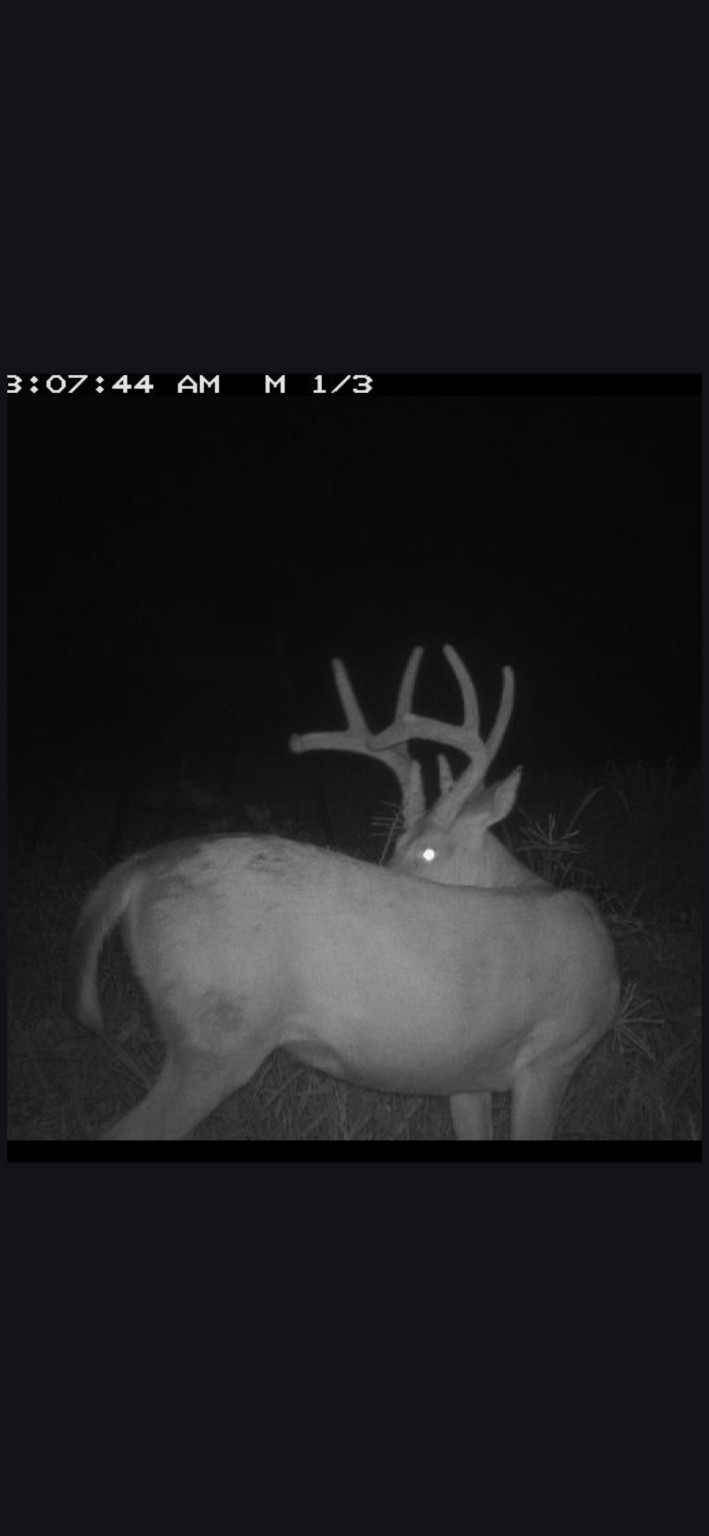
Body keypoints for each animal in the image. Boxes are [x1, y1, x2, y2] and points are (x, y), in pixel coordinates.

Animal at [64, 645, 619, 1140]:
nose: (389, 873)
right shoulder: (551, 1057)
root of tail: (142, 865)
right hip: (216, 1039)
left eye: (425, 851)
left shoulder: (468, 1076)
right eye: (402, 844)